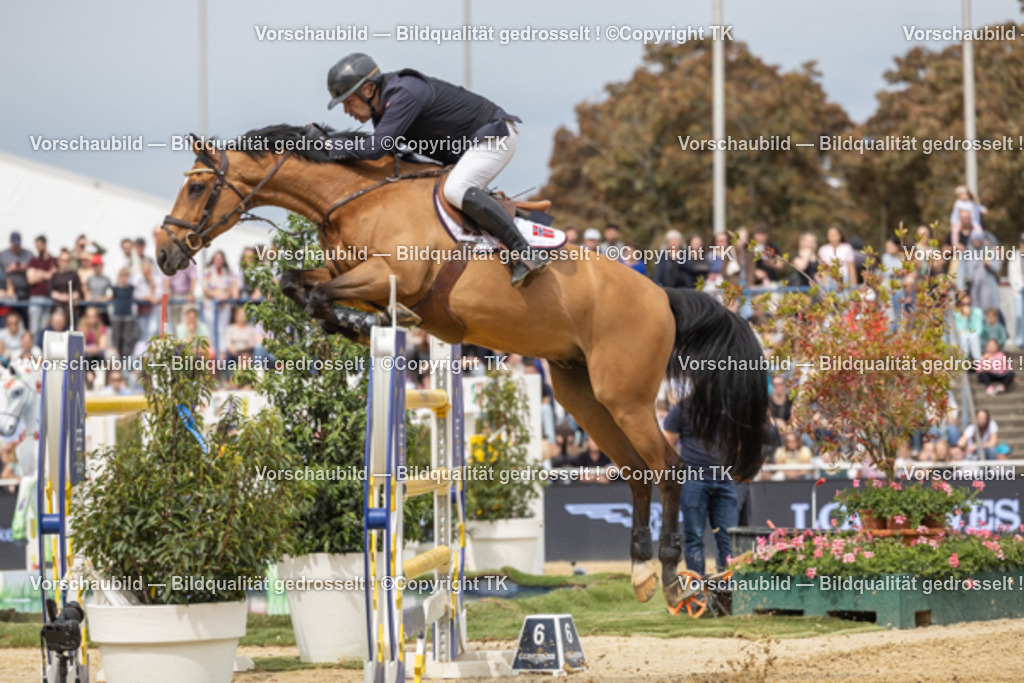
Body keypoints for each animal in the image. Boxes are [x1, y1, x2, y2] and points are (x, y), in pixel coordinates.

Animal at [155, 125, 769, 610]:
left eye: (197, 186)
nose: (164, 254)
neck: (355, 199)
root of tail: (662, 295)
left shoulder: (387, 274)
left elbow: (323, 292)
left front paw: (361, 323)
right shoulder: (351, 274)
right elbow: (297, 285)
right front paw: (354, 324)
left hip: (627, 396)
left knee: (668, 468)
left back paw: (671, 580)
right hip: (583, 396)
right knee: (637, 471)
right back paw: (640, 573)